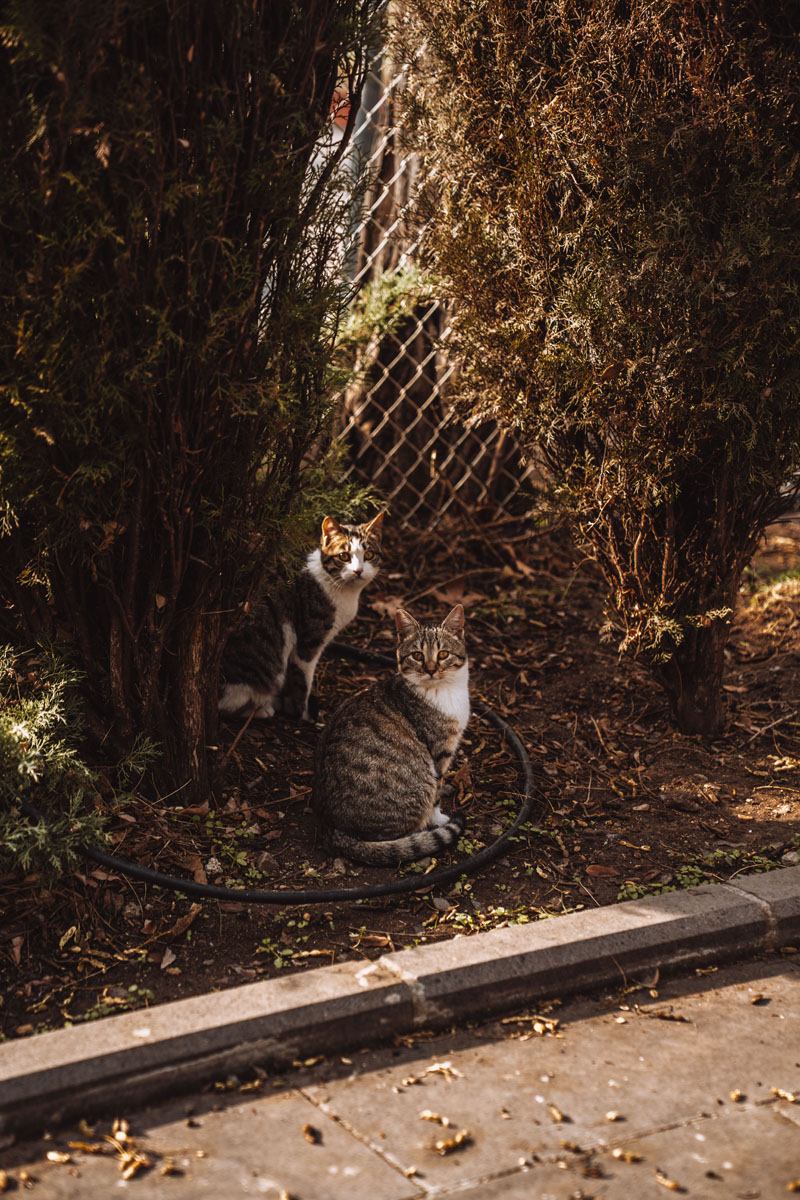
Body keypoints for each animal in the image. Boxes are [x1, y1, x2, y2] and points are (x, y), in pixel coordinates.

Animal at [219, 511, 385, 721]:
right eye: (344, 556)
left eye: (369, 555)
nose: (358, 571)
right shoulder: (308, 642)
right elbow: (303, 681)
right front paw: (302, 713)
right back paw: (263, 708)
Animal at [311, 603, 470, 865]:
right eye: (417, 655)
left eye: (443, 654)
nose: (431, 669)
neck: (443, 691)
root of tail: (334, 829)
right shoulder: (438, 753)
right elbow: (436, 795)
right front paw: (438, 819)